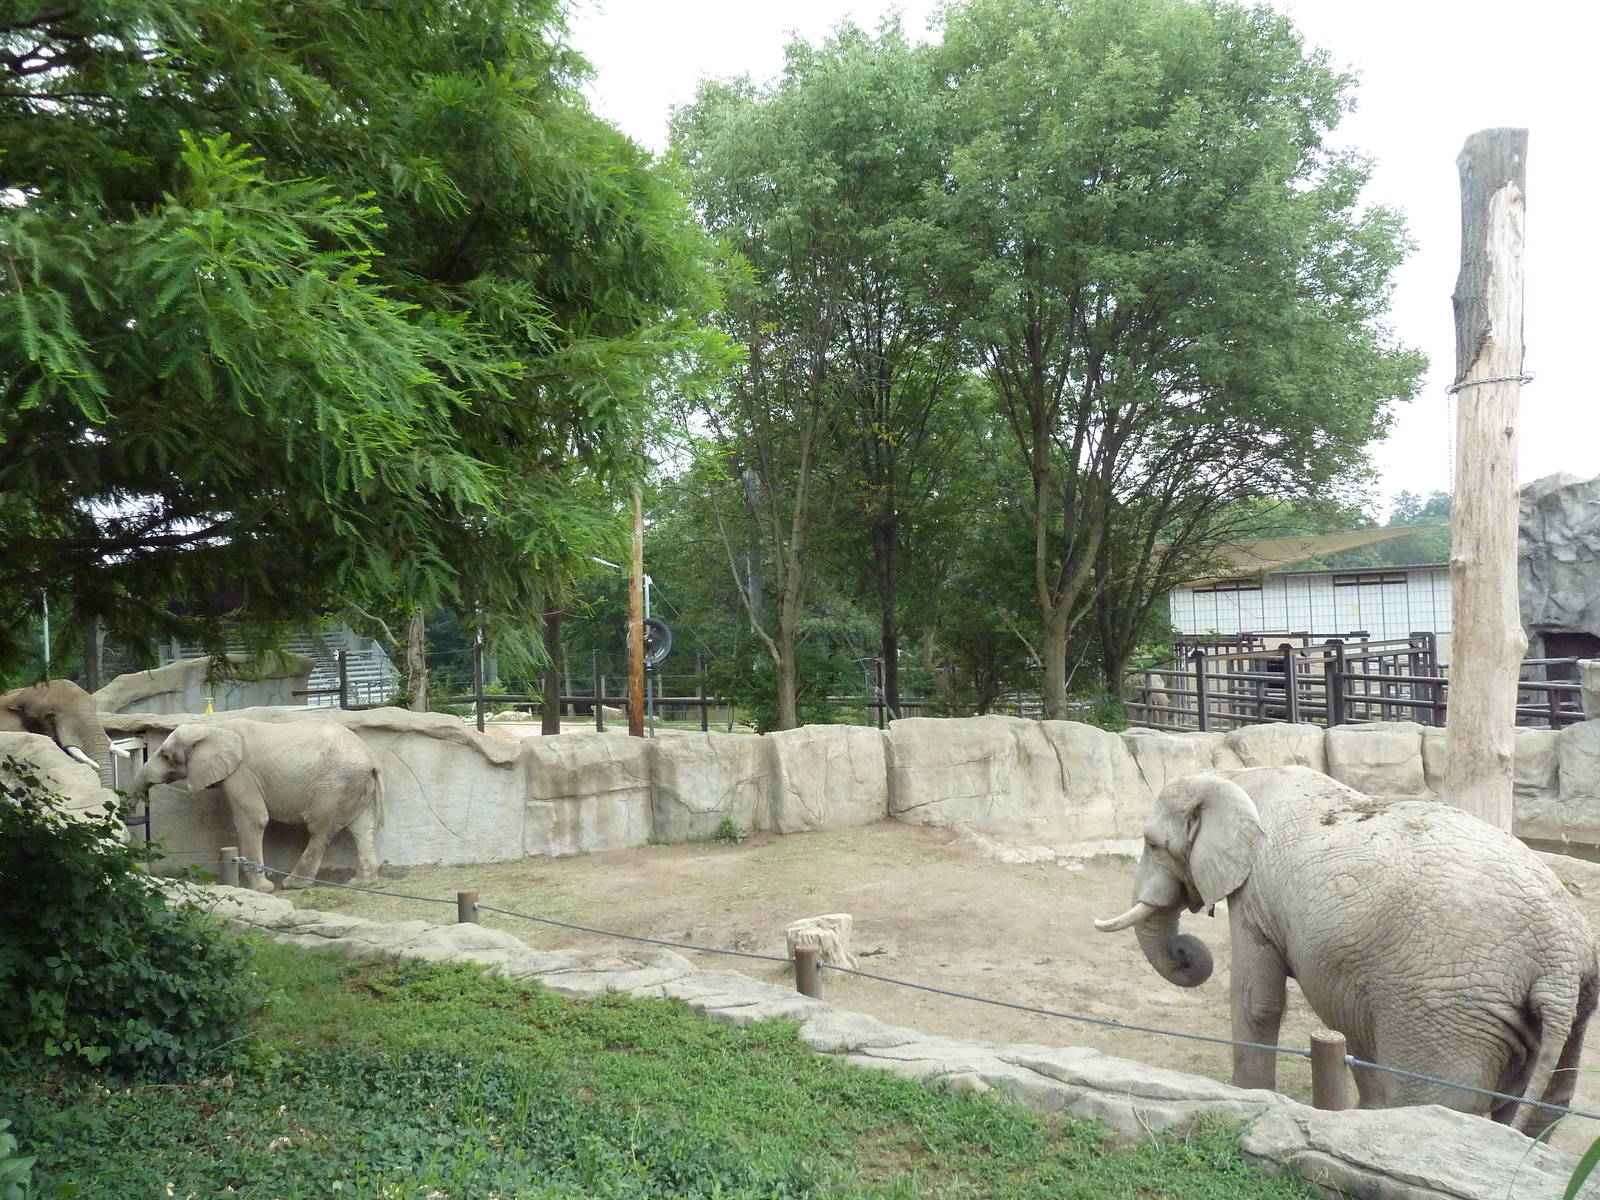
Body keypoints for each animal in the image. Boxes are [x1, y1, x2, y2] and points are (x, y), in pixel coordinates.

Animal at [133, 718, 380, 892]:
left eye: (165, 755)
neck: (212, 728)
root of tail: (371, 759)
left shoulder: (241, 773)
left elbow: (254, 819)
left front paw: (263, 889)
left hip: (335, 787)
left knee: (319, 830)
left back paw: (293, 884)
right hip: (357, 786)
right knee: (362, 828)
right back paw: (361, 882)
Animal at [1094, 765, 1598, 1137]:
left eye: (1152, 843)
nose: (1184, 951)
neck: (1236, 775)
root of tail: (1558, 961)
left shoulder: (1255, 897)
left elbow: (1256, 1001)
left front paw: (1249, 1097)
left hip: (1448, 1013)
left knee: (1436, 1100)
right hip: (1571, 1008)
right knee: (1547, 1107)